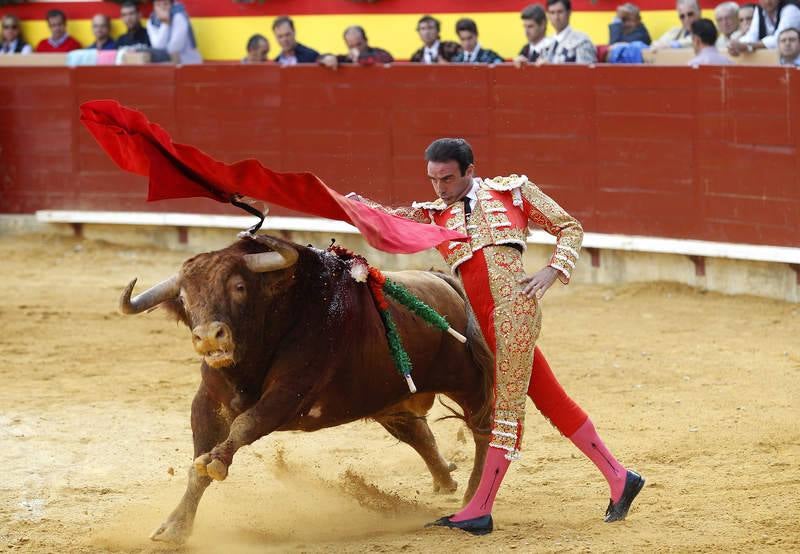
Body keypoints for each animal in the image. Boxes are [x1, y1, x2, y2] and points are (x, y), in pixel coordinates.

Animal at [119, 235, 494, 540]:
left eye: (239, 287)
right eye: (183, 298)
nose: (210, 336)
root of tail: (442, 281)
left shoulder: (289, 393)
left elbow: (244, 425)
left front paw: (218, 462)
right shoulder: (208, 401)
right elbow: (198, 462)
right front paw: (174, 527)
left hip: (467, 381)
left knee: (482, 429)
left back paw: (473, 495)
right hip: (389, 399)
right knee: (418, 433)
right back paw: (445, 478)